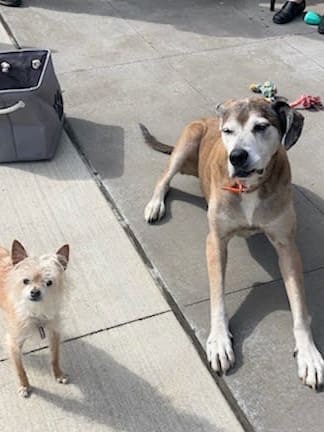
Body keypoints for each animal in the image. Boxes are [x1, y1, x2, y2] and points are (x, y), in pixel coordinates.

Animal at [0, 241, 69, 396]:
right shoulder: (14, 343)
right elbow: (20, 369)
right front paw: (24, 385)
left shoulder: (54, 333)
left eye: (49, 282)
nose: (35, 292)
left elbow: (55, 357)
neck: (36, 312)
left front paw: (58, 374)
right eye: (25, 281)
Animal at [141, 97, 324, 388]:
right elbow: (217, 296)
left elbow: (299, 306)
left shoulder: (287, 246)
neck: (248, 187)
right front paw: (219, 341)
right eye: (228, 131)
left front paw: (308, 353)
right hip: (187, 142)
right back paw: (155, 204)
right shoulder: (216, 241)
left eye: (261, 127)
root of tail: (206, 118)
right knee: (164, 177)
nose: (236, 156)